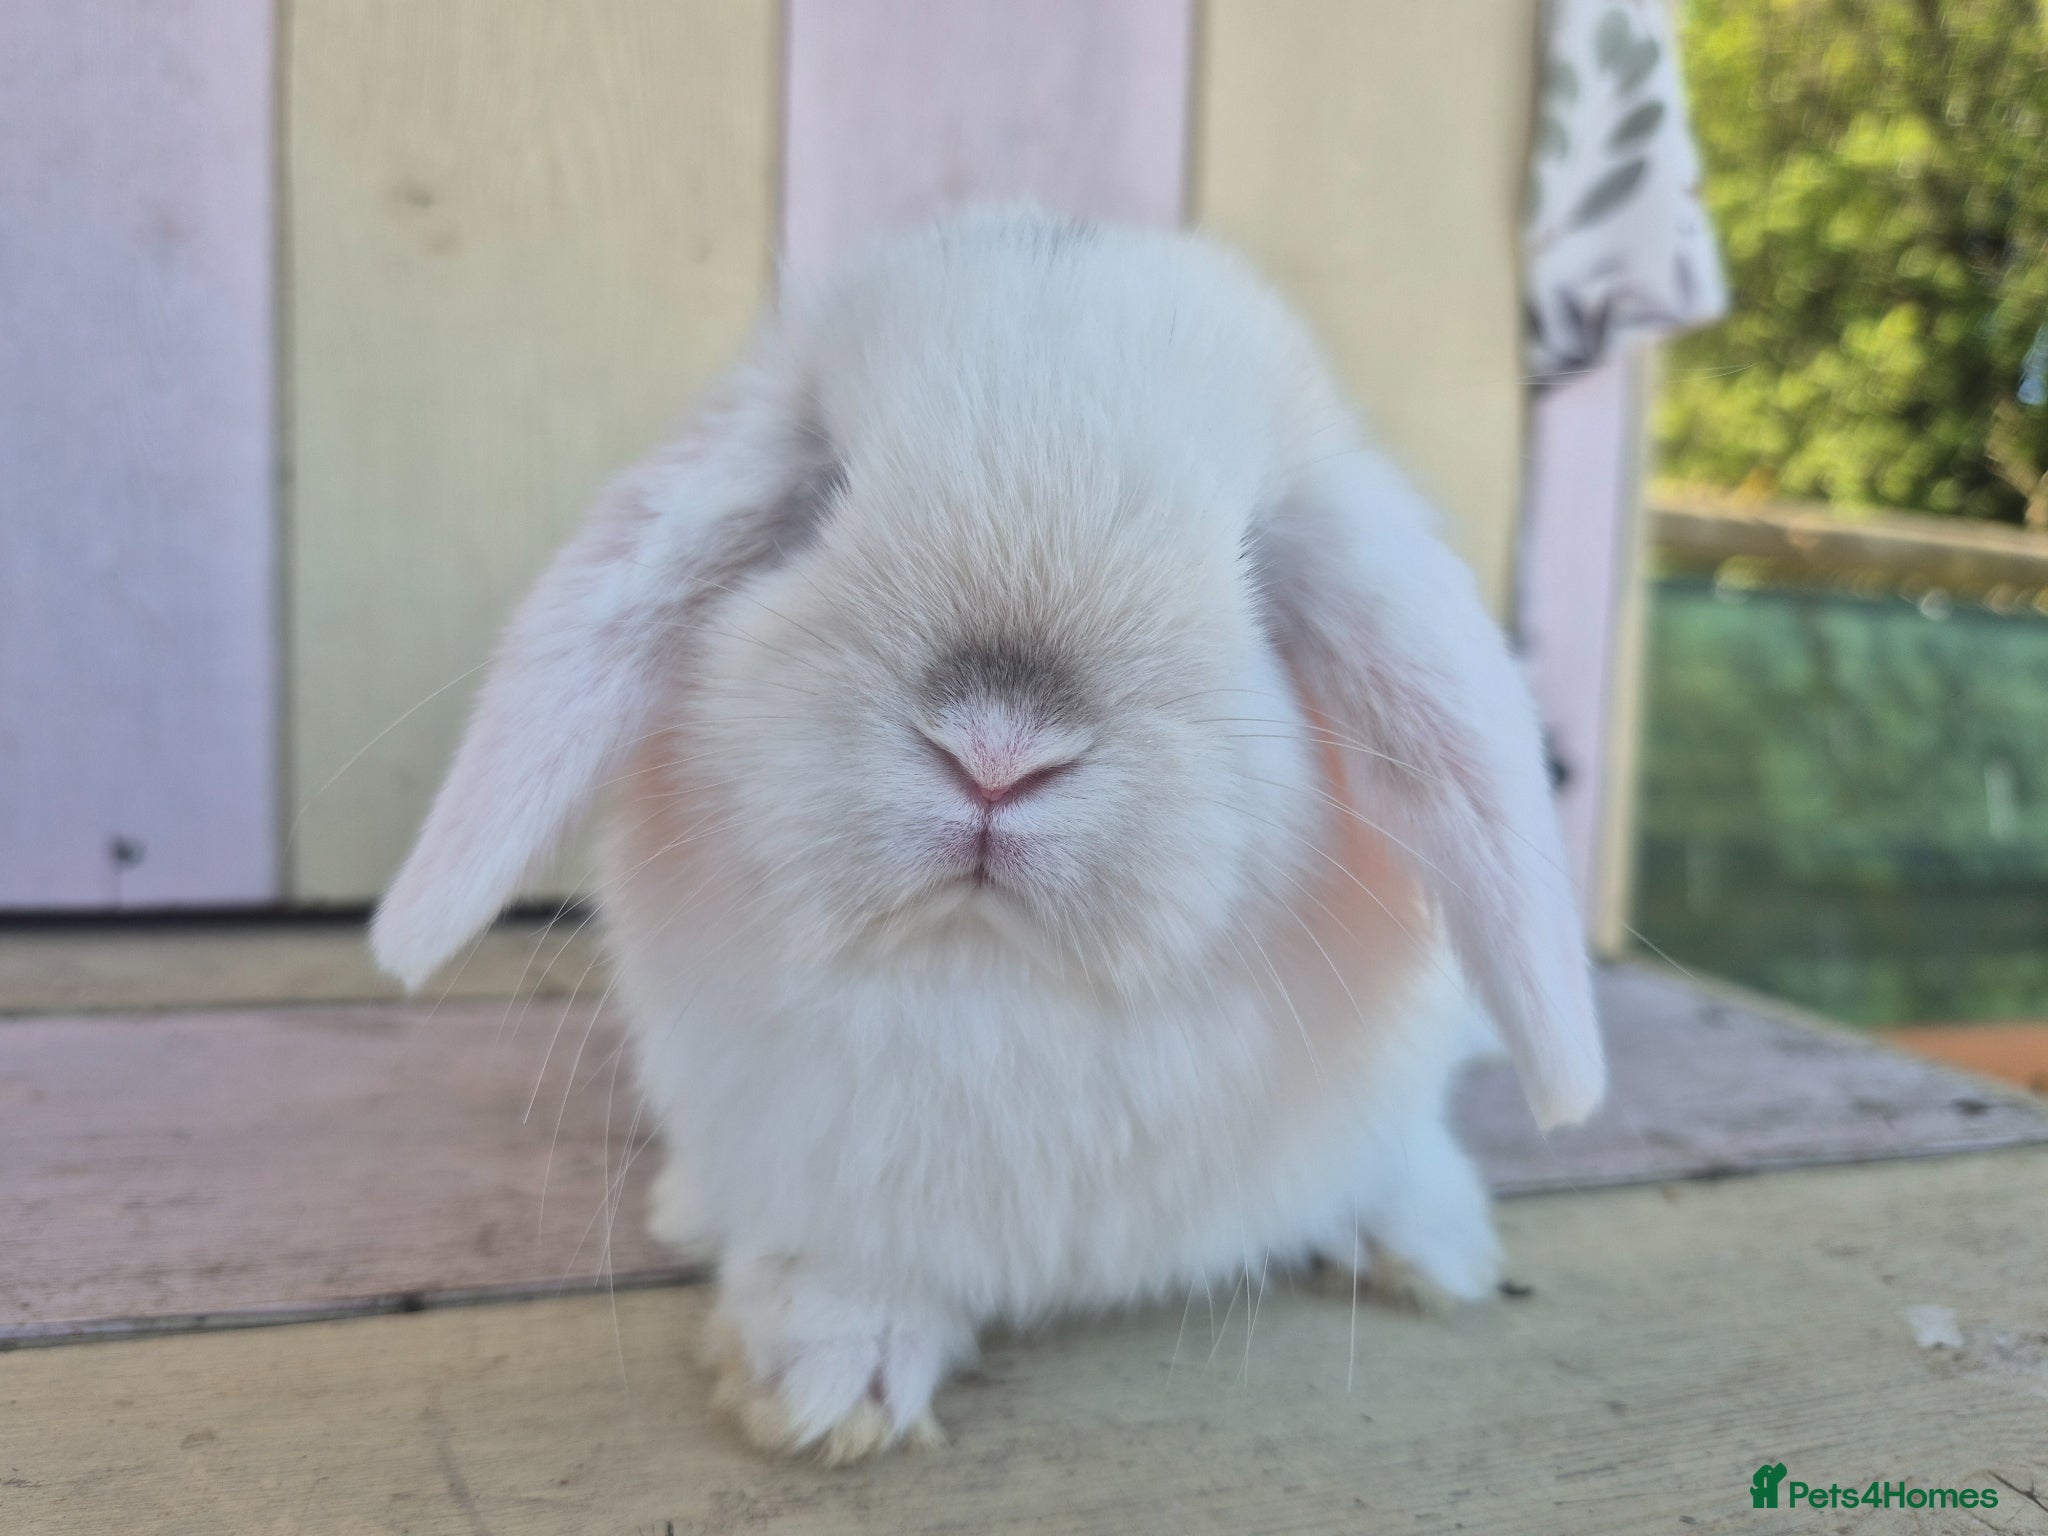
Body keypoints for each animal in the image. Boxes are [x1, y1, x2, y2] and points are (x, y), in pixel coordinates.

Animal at [371, 206, 1604, 1465]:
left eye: (1256, 562)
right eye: (822, 495)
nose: (996, 751)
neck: (993, 981)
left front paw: (1433, 1244)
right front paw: (825, 1385)